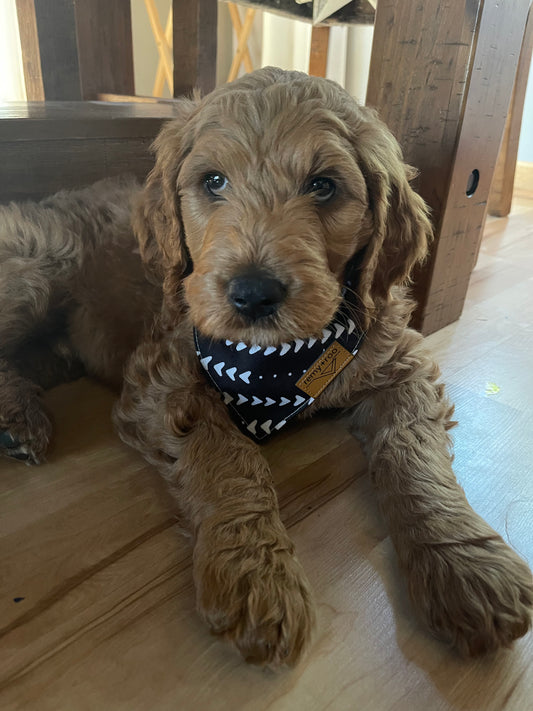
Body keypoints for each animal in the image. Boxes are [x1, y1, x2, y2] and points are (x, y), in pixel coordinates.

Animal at [1, 68, 532, 668]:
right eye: (213, 181)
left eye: (323, 185)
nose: (253, 294)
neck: (278, 359)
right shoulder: (161, 374)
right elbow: (226, 456)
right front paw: (255, 576)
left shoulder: (403, 362)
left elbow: (414, 454)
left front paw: (465, 564)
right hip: (39, 262)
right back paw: (18, 417)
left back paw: (19, 413)